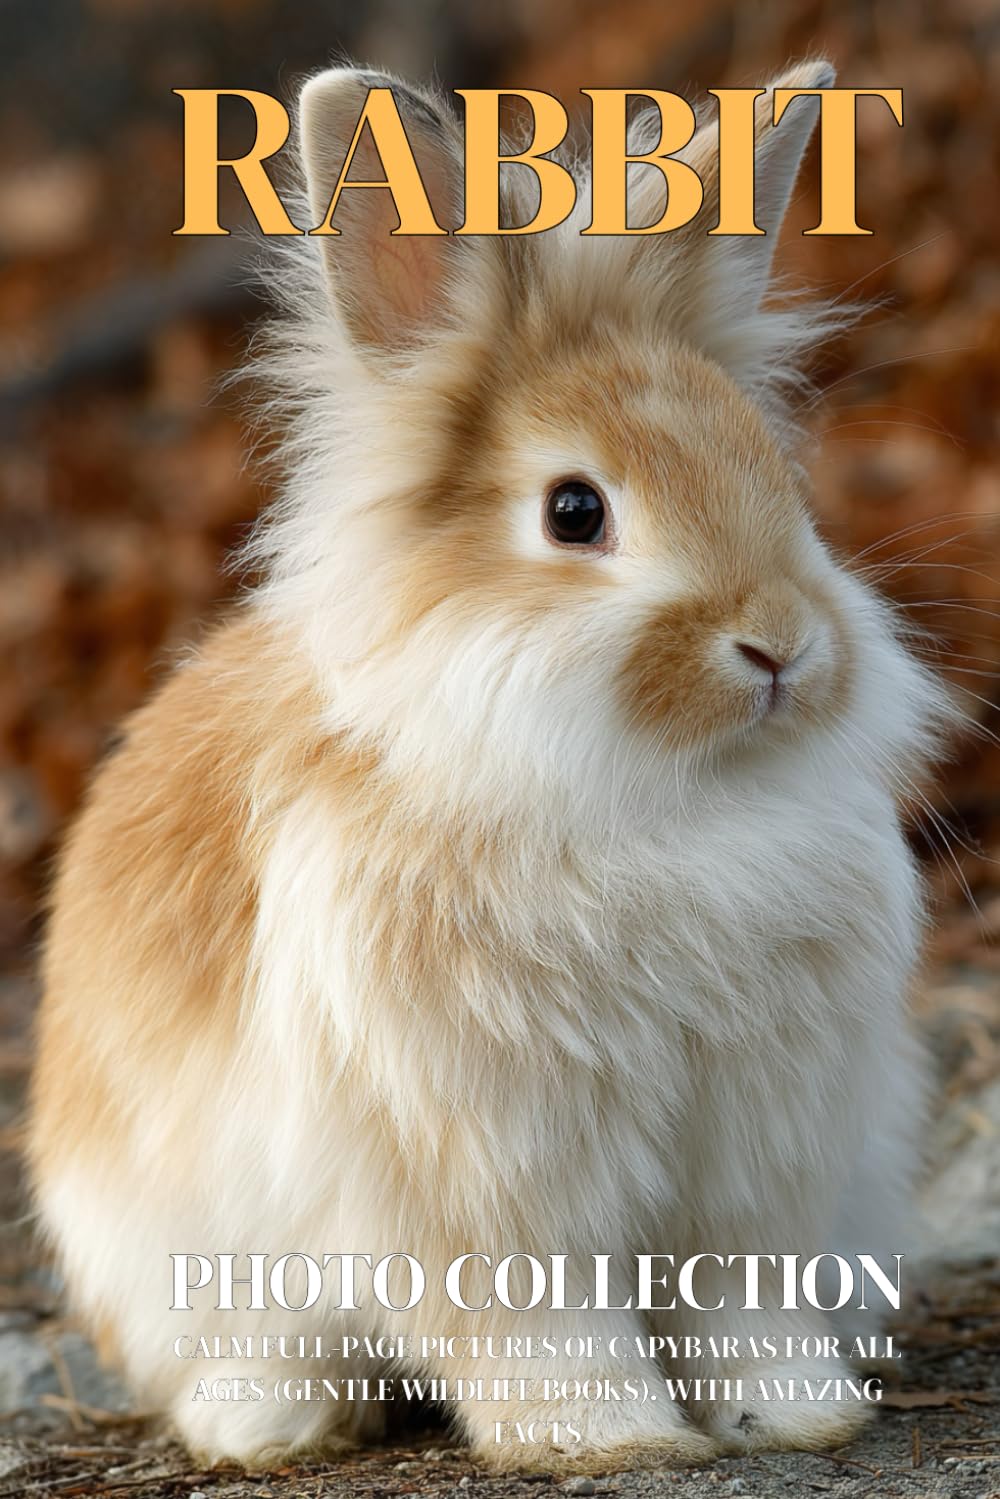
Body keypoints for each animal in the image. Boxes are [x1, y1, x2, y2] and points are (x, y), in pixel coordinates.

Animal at [28, 60, 952, 1476]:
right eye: (576, 511)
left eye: (771, 472)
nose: (781, 645)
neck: (651, 797)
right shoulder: (490, 1179)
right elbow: (543, 1323)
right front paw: (610, 1439)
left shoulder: (752, 1165)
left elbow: (740, 1302)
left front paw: (797, 1411)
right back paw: (274, 1423)